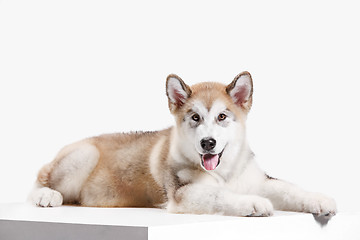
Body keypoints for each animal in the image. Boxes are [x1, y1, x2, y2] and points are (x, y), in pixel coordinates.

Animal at [28, 71, 338, 218]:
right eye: (195, 117)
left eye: (222, 116)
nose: (208, 143)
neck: (225, 172)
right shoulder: (183, 193)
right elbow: (219, 195)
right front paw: (252, 203)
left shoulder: (257, 180)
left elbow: (288, 188)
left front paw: (319, 199)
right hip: (83, 154)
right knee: (38, 181)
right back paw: (47, 196)